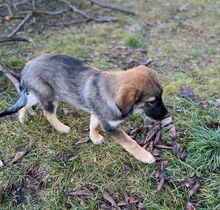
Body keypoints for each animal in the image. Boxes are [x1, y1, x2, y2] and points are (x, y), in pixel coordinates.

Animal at [0, 54, 168, 164]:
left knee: (27, 101)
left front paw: (94, 137)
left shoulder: (97, 113)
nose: (167, 115)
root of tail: (25, 68)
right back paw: (61, 128)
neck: (111, 92)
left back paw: (22, 117)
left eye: (162, 95)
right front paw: (145, 156)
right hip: (49, 96)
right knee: (48, 114)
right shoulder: (111, 126)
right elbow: (130, 143)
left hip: (42, 93)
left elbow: (93, 124)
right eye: (151, 102)